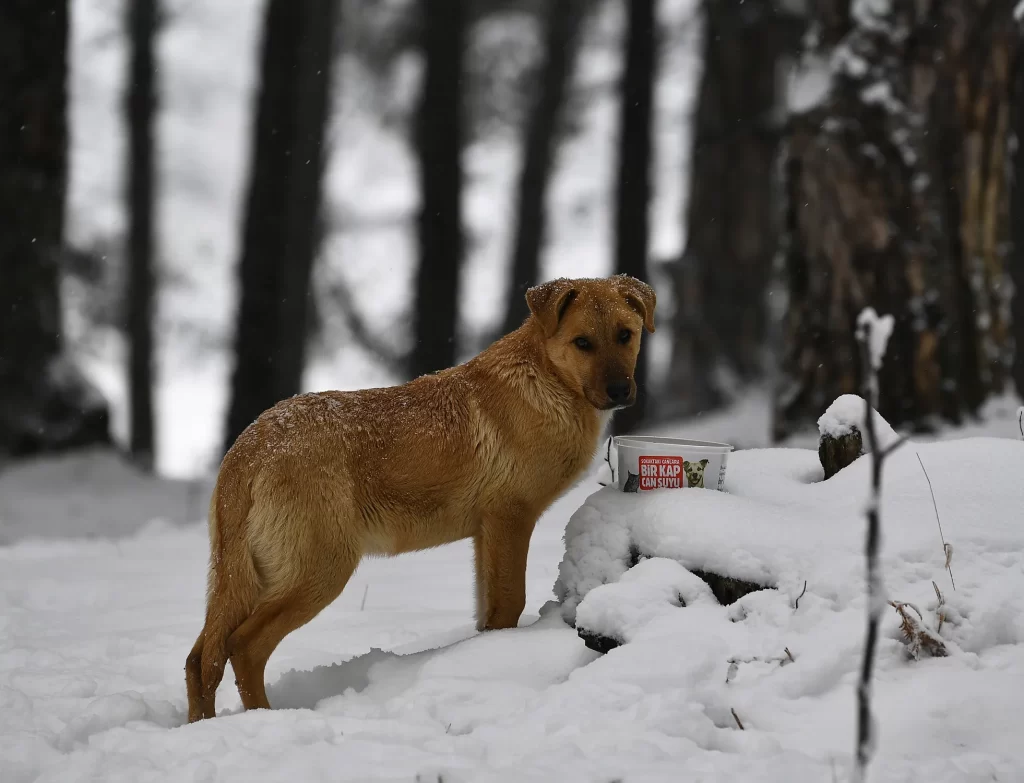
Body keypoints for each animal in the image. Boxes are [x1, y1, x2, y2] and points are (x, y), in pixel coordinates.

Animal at [184, 274, 655, 720]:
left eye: (625, 335)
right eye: (582, 343)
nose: (619, 391)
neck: (545, 383)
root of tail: (248, 448)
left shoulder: (485, 535)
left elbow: (489, 613)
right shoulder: (510, 518)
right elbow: (510, 604)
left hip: (245, 578)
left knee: (201, 659)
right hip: (317, 570)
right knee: (243, 647)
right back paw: (266, 719)